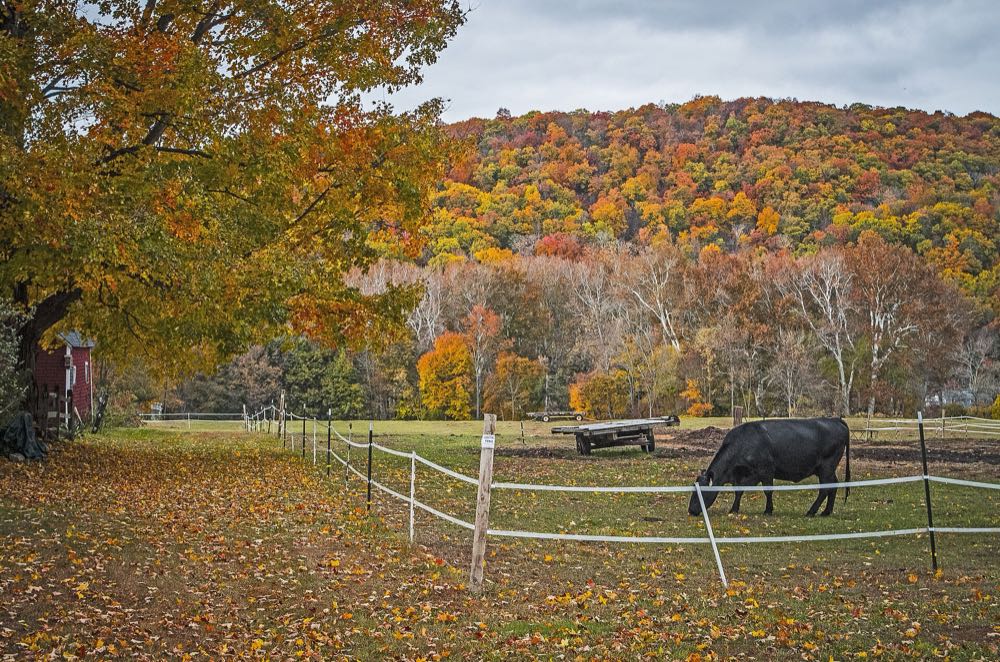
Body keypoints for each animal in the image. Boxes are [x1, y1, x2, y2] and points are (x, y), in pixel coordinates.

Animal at [688, 417, 851, 517]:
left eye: (700, 492)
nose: (691, 510)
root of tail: (835, 419)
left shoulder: (766, 471)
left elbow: (768, 491)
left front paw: (768, 510)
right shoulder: (744, 476)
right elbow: (739, 492)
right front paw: (734, 509)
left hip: (826, 467)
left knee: (825, 489)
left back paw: (811, 511)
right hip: (828, 469)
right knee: (833, 485)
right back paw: (826, 511)